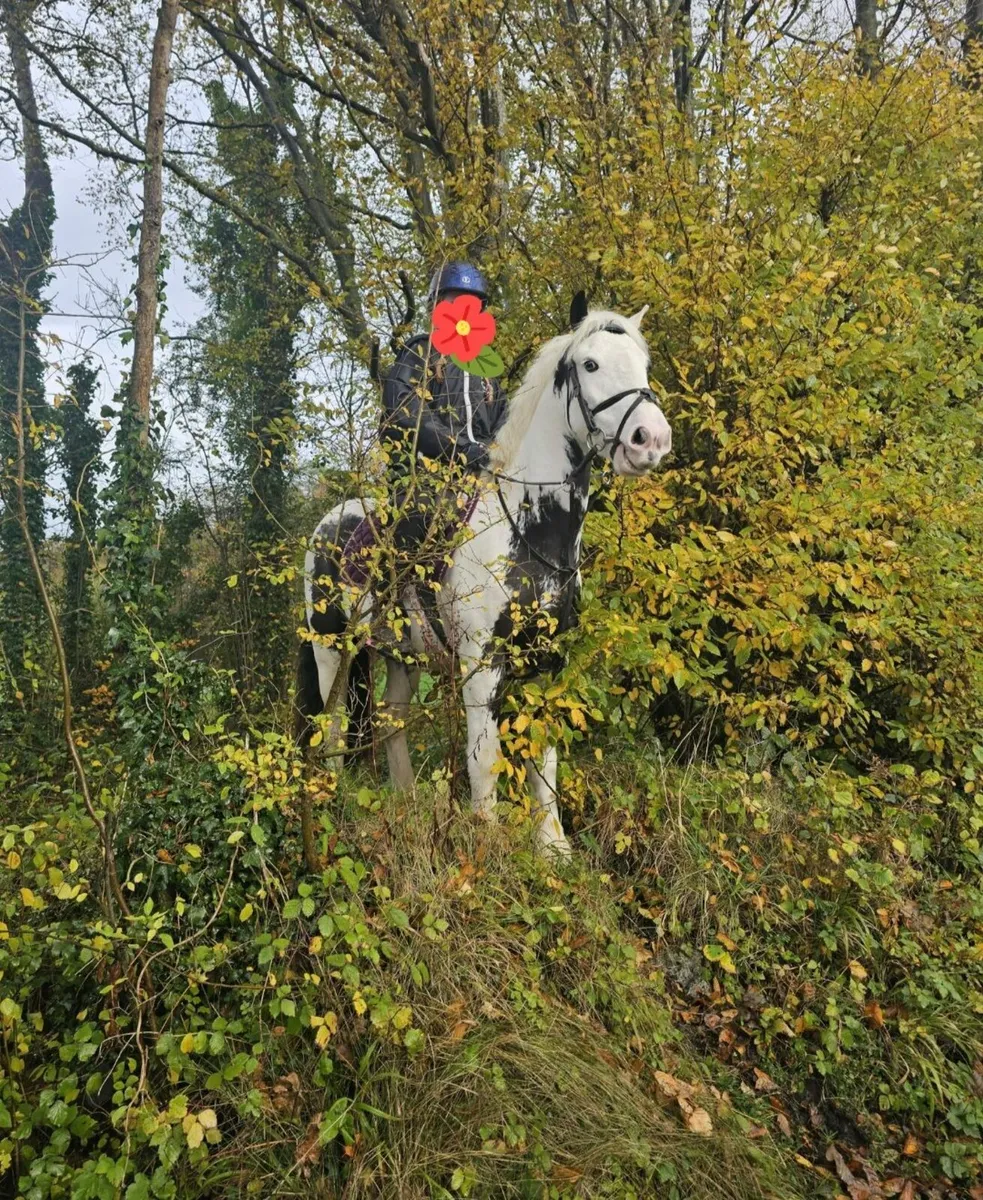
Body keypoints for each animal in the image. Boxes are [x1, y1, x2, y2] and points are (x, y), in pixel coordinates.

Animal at [296, 296, 672, 856]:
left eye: (643, 365)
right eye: (590, 364)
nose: (651, 441)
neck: (529, 536)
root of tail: (327, 522)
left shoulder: (547, 665)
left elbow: (544, 758)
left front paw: (553, 848)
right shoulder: (483, 666)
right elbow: (484, 759)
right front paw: (487, 845)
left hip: (403, 655)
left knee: (392, 718)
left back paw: (405, 803)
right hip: (331, 647)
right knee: (335, 725)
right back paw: (334, 804)